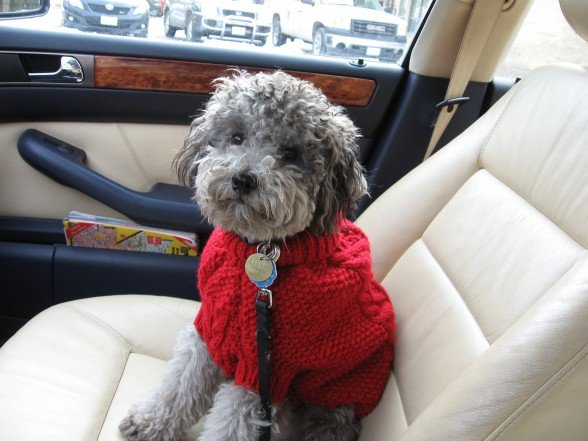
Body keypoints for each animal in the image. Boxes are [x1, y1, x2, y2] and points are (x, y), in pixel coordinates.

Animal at [119, 70, 396, 438]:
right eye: (237, 137)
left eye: (291, 153)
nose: (242, 179)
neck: (259, 248)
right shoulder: (210, 330)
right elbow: (179, 385)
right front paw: (150, 422)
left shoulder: (264, 371)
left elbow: (233, 424)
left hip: (333, 401)